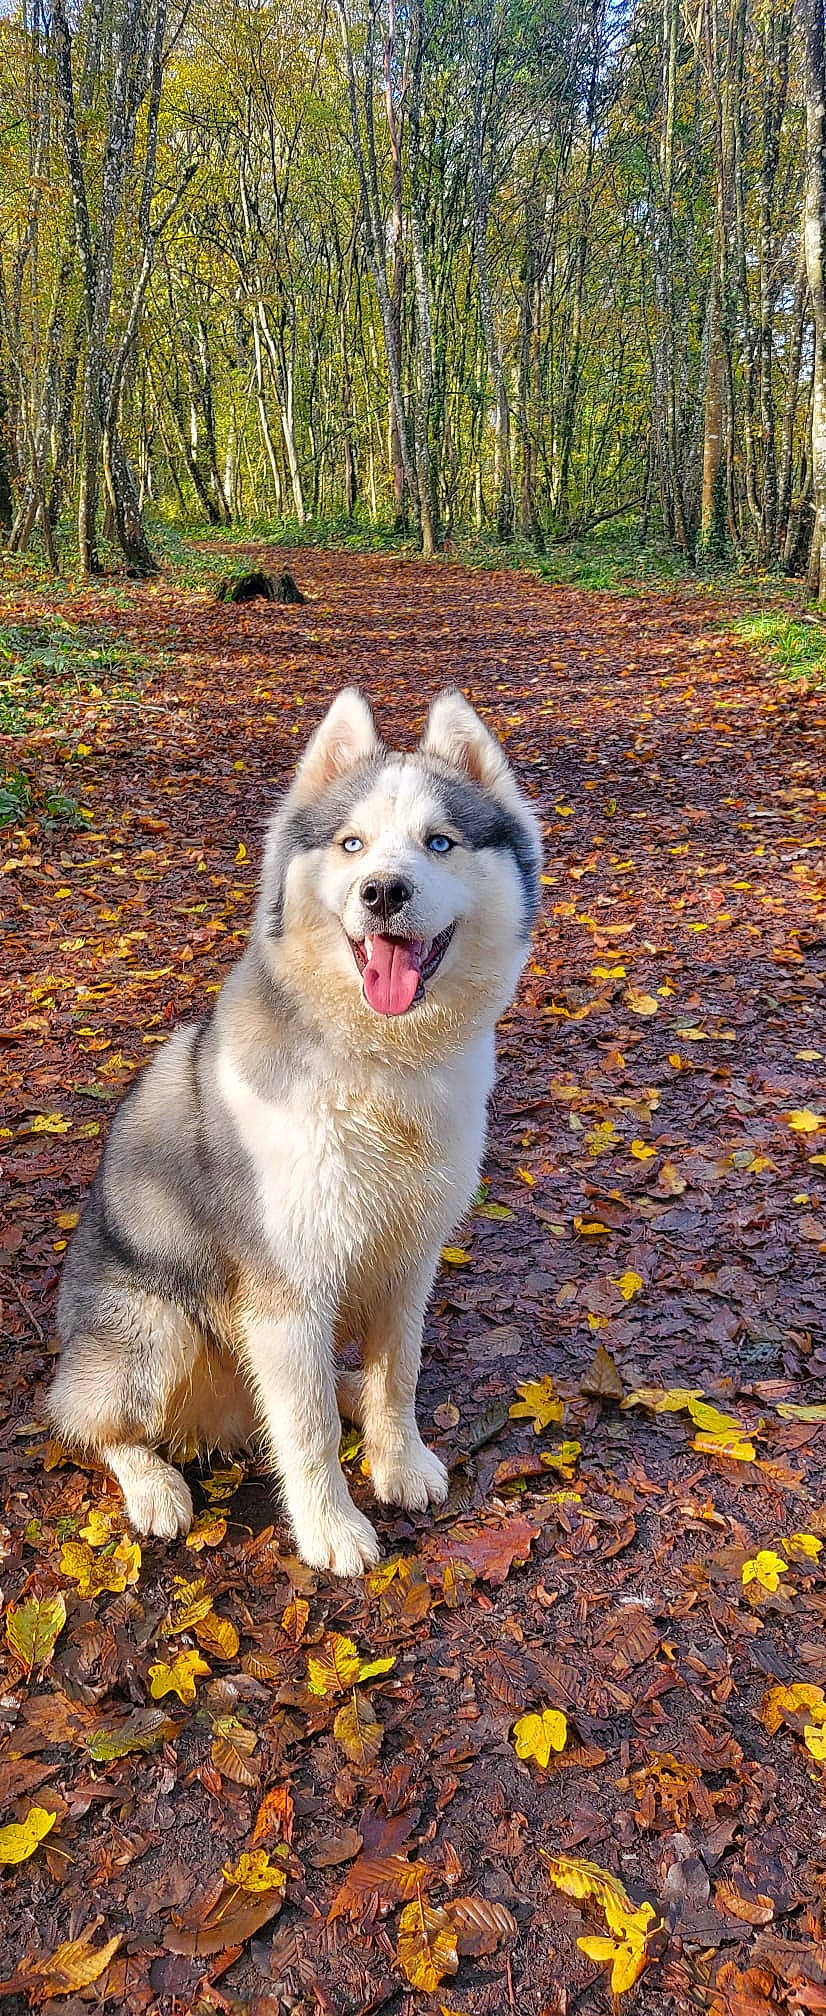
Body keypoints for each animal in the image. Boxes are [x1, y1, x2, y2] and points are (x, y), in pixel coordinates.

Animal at [48, 689, 542, 1574]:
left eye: (439, 842)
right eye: (351, 844)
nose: (382, 892)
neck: (379, 1066)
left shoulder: (408, 1263)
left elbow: (397, 1376)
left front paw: (398, 1461)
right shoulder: (288, 1289)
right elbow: (306, 1430)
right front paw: (331, 1529)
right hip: (159, 1328)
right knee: (86, 1423)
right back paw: (154, 1485)